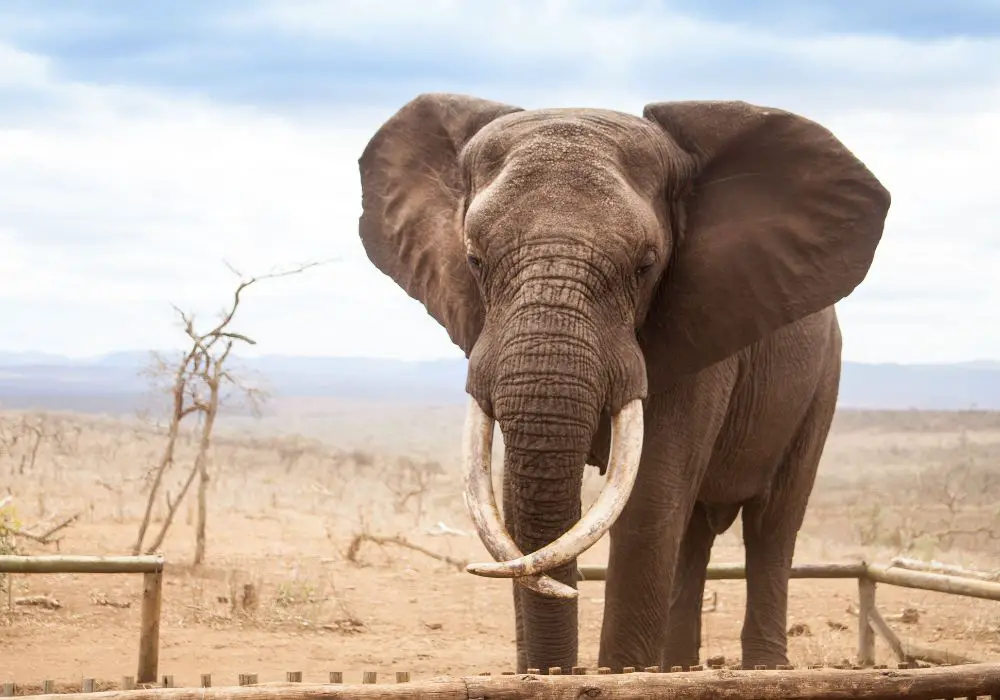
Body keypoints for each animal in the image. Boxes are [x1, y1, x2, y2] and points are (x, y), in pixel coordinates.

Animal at [354, 91, 892, 672]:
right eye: (474, 260)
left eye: (646, 265)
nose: (554, 671)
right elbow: (516, 501)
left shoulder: (698, 325)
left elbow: (649, 499)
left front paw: (621, 676)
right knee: (695, 532)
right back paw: (677, 671)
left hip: (823, 379)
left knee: (772, 523)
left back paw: (759, 669)